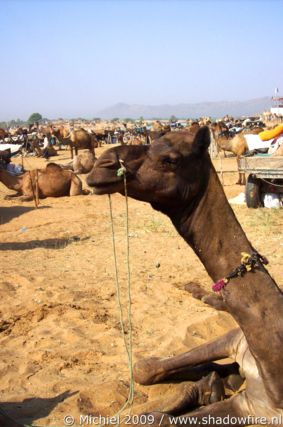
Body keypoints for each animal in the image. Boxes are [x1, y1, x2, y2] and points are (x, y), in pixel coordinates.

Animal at [87, 129, 283, 426]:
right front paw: (208, 384)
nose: (102, 165)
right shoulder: (238, 343)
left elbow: (156, 416)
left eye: (170, 159)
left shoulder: (257, 408)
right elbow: (144, 368)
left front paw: (209, 387)